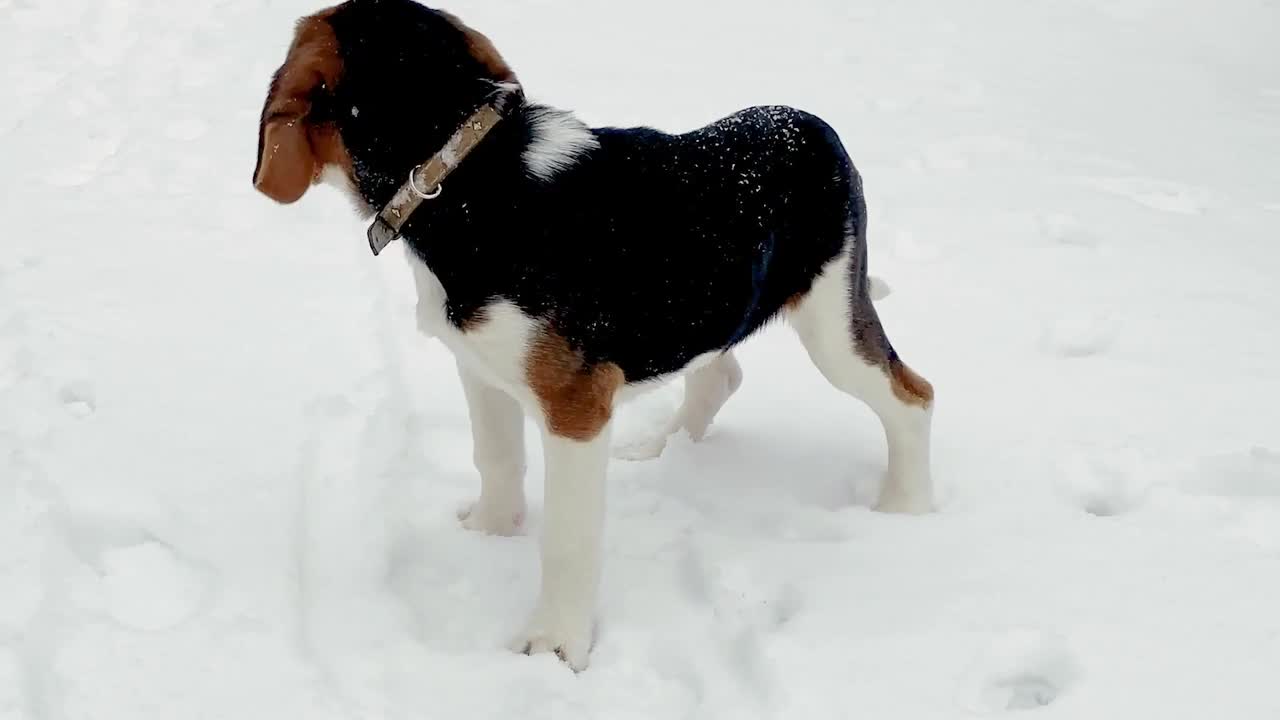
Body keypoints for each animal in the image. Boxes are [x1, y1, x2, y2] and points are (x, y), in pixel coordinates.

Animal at [252, 0, 931, 666]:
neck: (466, 174)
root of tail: (816, 128)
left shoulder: (574, 407)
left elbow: (567, 541)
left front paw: (553, 645)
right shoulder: (480, 369)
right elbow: (495, 459)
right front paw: (488, 534)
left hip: (833, 322)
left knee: (911, 396)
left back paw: (904, 508)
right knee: (722, 373)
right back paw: (666, 447)